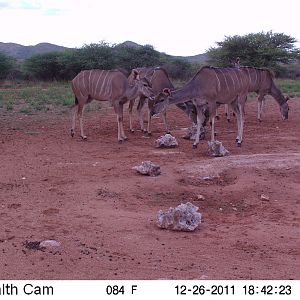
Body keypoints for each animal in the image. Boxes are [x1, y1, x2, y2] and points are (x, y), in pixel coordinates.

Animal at [151, 67, 290, 149]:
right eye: (155, 99)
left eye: (161, 100)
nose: (152, 112)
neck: (197, 85)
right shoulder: (199, 105)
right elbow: (200, 121)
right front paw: (195, 143)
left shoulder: (212, 102)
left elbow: (212, 120)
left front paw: (213, 143)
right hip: (232, 101)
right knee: (238, 116)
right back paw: (237, 138)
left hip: (241, 97)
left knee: (243, 116)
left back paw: (240, 141)